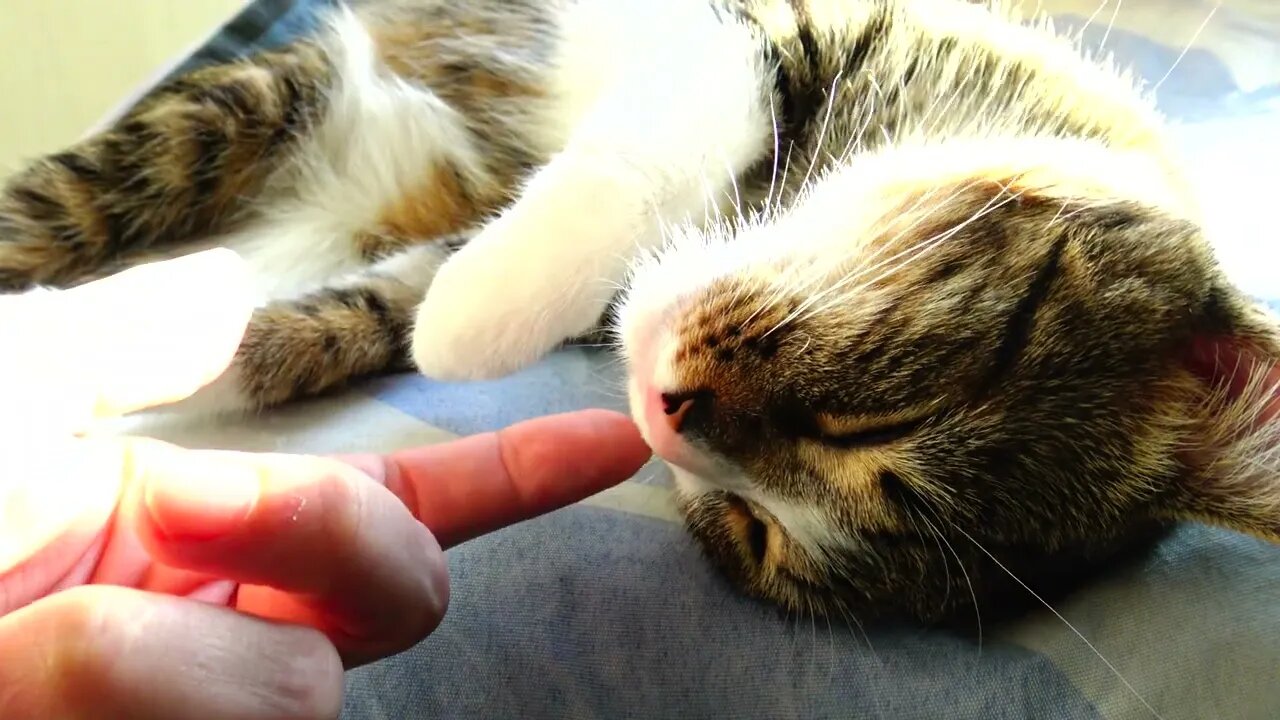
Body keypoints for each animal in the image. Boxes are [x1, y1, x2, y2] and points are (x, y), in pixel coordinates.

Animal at [2, 0, 1280, 622]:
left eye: (749, 534)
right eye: (878, 426)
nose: (665, 412)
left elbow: (350, 315)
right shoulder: (785, 25)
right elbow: (655, 139)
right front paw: (481, 309)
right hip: (230, 114)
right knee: (69, 200)